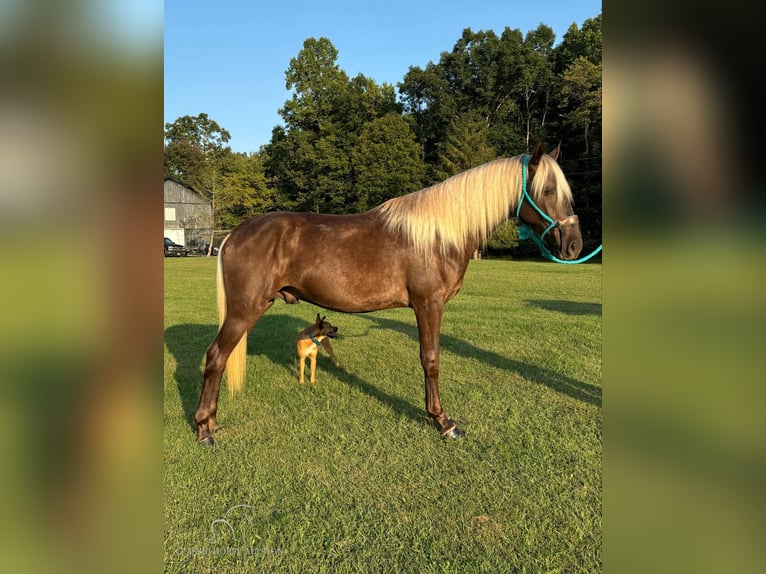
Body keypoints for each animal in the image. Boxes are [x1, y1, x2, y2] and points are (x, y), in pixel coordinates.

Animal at [195, 142, 584, 448]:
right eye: (548, 190)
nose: (574, 245)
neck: (438, 235)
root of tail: (235, 234)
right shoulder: (429, 305)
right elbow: (431, 359)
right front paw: (443, 422)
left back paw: (212, 422)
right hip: (244, 310)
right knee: (215, 357)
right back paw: (204, 429)